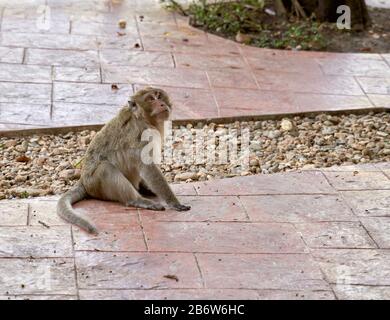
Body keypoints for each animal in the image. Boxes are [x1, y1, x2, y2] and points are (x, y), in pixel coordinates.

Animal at [57, 86, 190, 234]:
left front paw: (147, 187)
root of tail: (83, 181)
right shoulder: (141, 135)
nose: (161, 104)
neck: (143, 119)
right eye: (151, 99)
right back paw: (136, 200)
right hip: (96, 184)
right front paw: (174, 202)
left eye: (159, 96)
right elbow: (148, 168)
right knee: (105, 168)